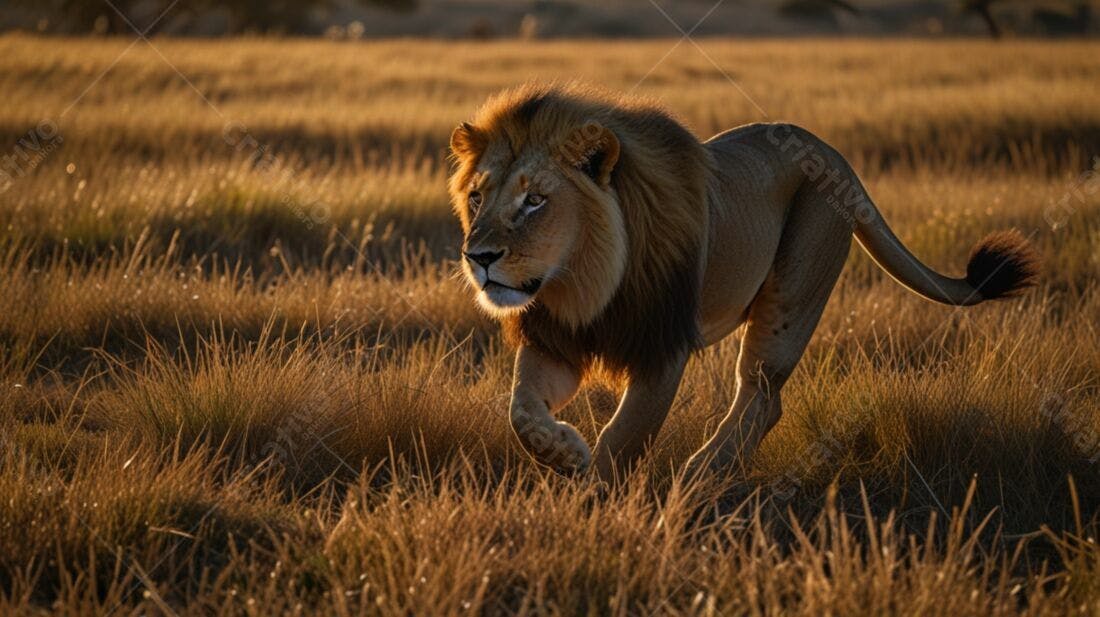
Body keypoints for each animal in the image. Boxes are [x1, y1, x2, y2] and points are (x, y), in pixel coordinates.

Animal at [447, 83, 1038, 483]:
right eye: (477, 197)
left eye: (535, 200)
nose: (478, 257)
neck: (583, 283)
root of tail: (826, 148)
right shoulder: (555, 342)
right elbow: (521, 410)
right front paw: (565, 452)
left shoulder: (663, 351)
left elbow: (623, 437)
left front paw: (594, 510)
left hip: (791, 295)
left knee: (761, 394)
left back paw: (701, 474)